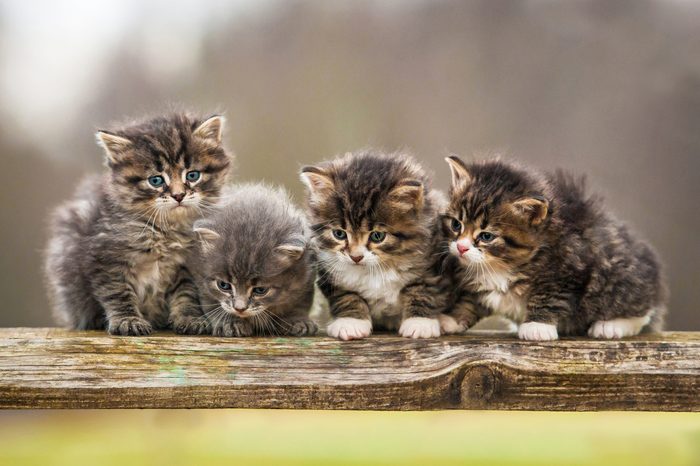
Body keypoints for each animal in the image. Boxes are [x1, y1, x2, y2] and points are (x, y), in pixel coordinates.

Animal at [44, 113, 232, 334]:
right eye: (156, 180)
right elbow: (117, 292)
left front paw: (189, 318)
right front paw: (128, 321)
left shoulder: (189, 265)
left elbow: (187, 293)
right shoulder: (105, 257)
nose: (178, 195)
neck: (166, 231)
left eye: (192, 175)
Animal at [186, 184, 318, 336]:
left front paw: (297, 320)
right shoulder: (199, 276)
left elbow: (299, 304)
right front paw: (230, 322)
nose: (239, 308)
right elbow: (211, 302)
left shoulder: (305, 280)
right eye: (223, 285)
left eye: (260, 290)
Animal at [438, 155, 668, 340]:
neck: (500, 265)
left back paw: (610, 326)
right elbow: (469, 300)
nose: (461, 247)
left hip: (622, 279)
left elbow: (550, 295)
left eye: (486, 236)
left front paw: (537, 326)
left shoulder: (570, 269)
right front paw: (451, 319)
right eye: (456, 224)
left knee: (643, 313)